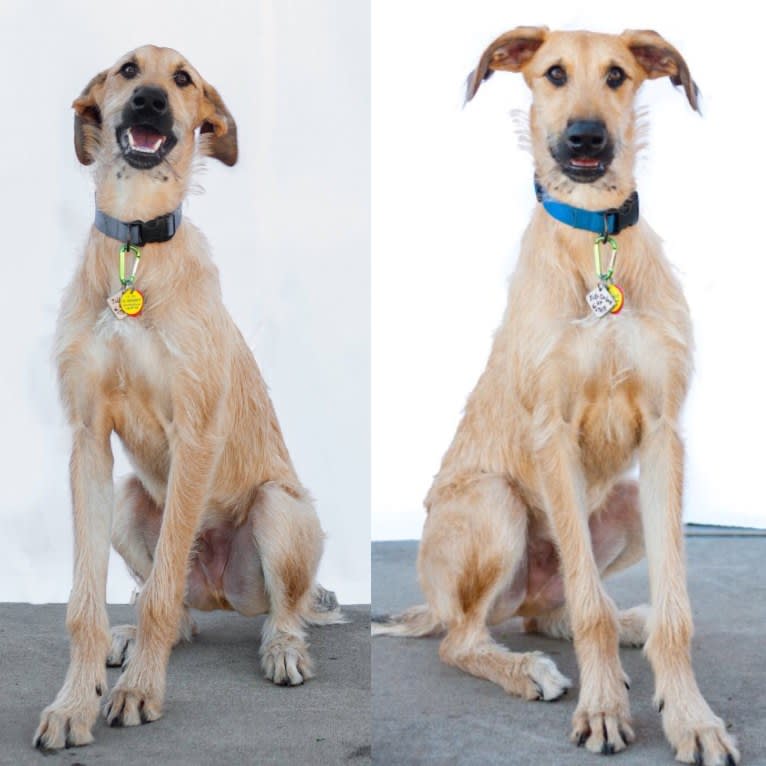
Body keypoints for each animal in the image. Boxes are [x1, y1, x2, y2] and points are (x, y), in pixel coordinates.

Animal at [36, 45, 342, 752]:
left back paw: (282, 647)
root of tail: (224, 593)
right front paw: (73, 703)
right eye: (127, 70)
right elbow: (85, 603)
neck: (135, 247)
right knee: (175, 607)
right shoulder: (88, 441)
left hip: (280, 509)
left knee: (276, 607)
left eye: (183, 80)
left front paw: (141, 692)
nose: (150, 100)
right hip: (127, 501)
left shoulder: (195, 435)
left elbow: (159, 590)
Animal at [376, 27, 740, 764]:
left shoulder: (663, 434)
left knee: (555, 609)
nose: (586, 137)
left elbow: (673, 609)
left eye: (617, 74)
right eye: (553, 73)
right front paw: (602, 709)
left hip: (624, 500)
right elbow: (588, 605)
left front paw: (690, 715)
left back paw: (627, 626)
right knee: (467, 638)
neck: (595, 239)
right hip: (495, 505)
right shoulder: (555, 433)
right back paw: (526, 670)